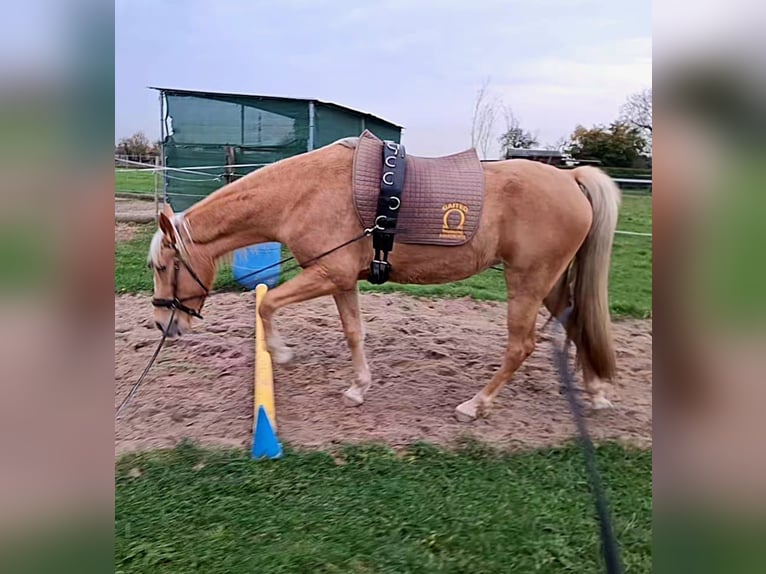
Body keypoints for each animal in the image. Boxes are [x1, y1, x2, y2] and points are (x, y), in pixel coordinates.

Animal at [148, 136, 621, 421]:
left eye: (162, 267)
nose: (164, 325)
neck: (303, 192)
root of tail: (570, 177)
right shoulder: (342, 280)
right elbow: (354, 332)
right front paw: (359, 388)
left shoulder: (327, 273)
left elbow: (266, 303)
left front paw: (280, 353)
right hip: (549, 283)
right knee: (575, 320)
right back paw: (596, 392)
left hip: (527, 281)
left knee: (521, 346)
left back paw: (476, 404)